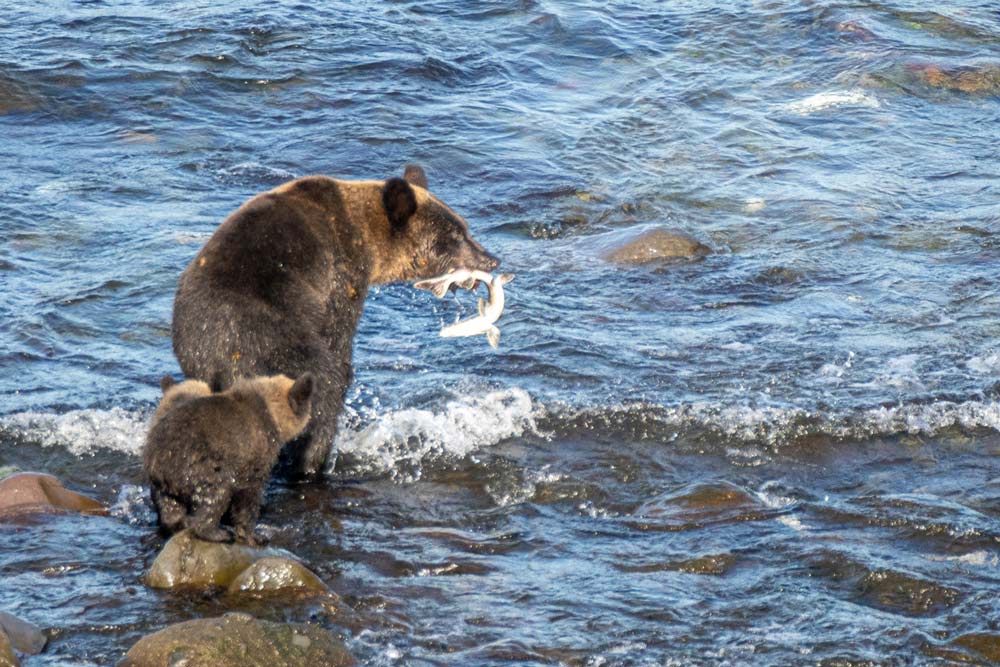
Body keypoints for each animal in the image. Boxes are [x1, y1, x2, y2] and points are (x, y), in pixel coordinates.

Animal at [144, 374, 312, 544]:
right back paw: (217, 533)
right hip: (200, 467)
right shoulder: (255, 456)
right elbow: (248, 497)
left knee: (170, 508)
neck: (274, 415)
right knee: (216, 494)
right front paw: (253, 536)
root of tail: (158, 458)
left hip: (165, 485)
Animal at [174, 167, 500, 480]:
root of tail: (227, 355)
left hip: (200, 357)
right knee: (325, 389)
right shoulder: (339, 277)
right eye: (454, 236)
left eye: (464, 229)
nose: (490, 259)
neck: (367, 240)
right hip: (276, 346)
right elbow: (338, 338)